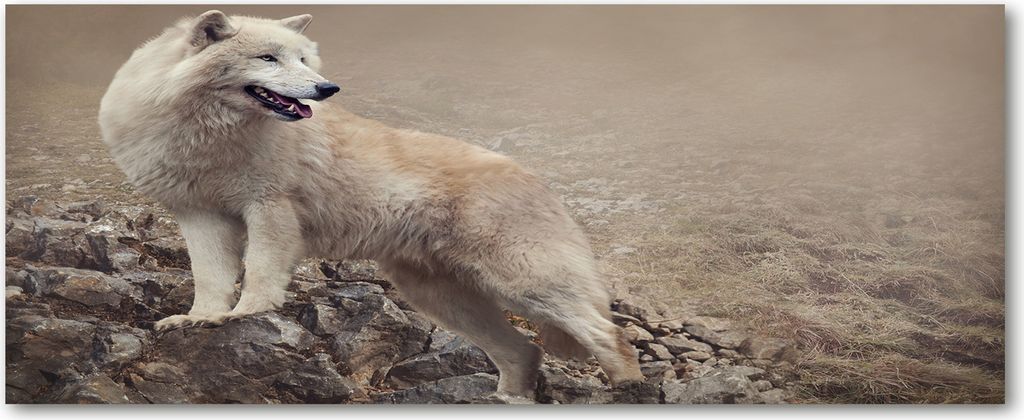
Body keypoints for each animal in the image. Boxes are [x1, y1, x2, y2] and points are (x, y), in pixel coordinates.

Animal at [98, 10, 643, 399]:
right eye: (269, 58)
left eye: (304, 60)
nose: (326, 89)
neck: (206, 133)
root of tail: (539, 179)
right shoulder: (200, 216)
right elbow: (210, 279)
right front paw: (201, 319)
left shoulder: (269, 209)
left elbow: (259, 274)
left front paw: (245, 315)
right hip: (443, 298)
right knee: (524, 351)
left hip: (522, 283)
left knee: (609, 334)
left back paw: (628, 388)